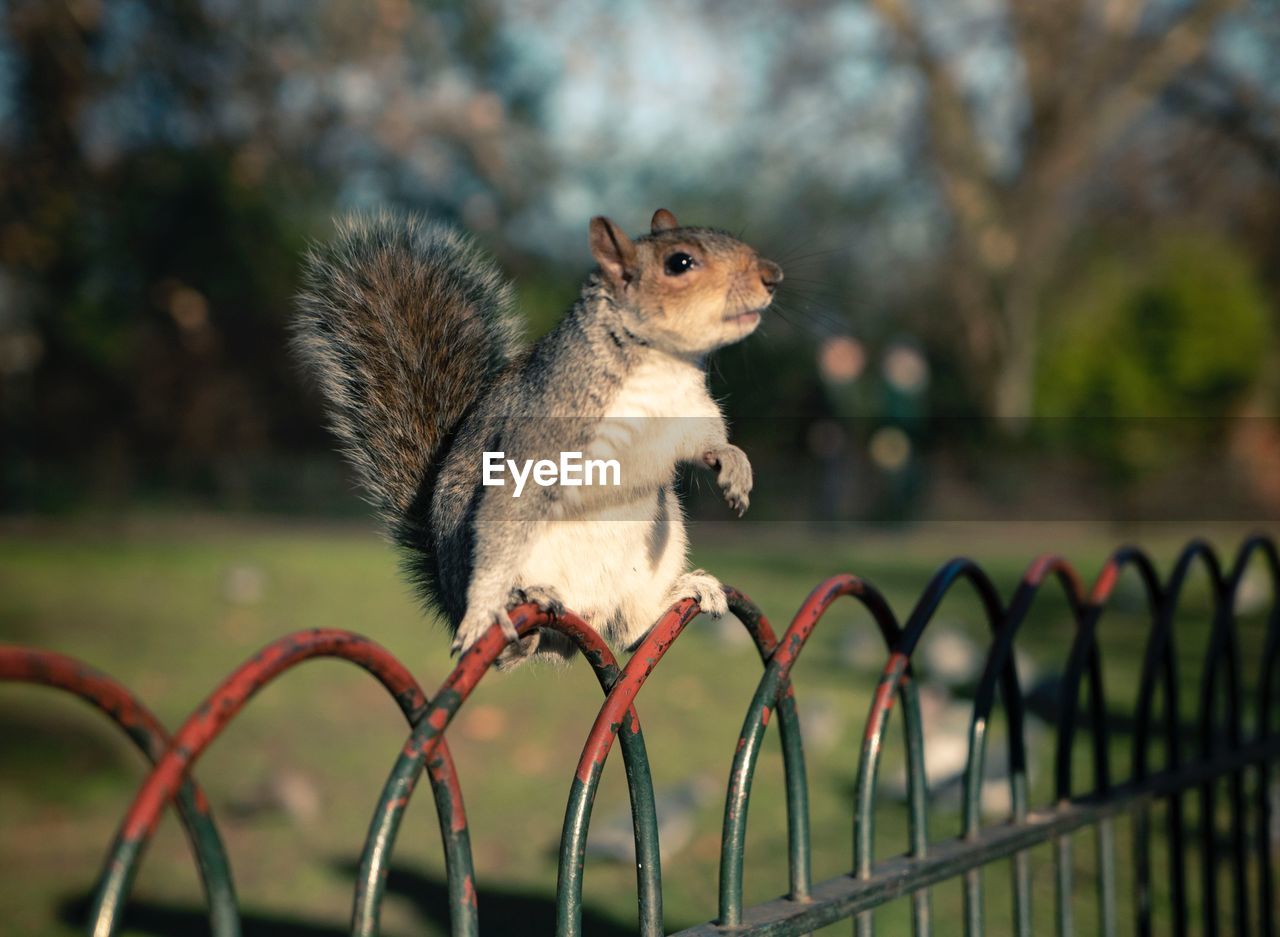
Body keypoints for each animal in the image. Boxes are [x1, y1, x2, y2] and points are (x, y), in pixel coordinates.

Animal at [293, 209, 778, 665]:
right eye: (680, 262)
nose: (772, 276)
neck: (658, 365)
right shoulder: (546, 430)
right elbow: (512, 493)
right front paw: (485, 607)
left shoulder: (689, 412)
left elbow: (708, 440)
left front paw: (734, 465)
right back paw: (517, 606)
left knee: (632, 634)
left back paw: (686, 591)